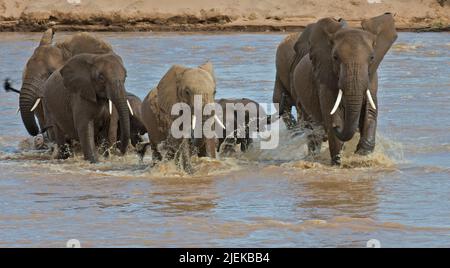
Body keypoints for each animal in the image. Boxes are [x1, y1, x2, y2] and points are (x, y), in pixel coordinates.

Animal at [288, 14, 398, 165]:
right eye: (335, 57)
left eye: (372, 58)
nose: (335, 128)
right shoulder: (325, 79)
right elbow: (333, 113)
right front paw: (338, 162)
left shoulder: (372, 79)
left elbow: (370, 112)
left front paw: (362, 156)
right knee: (312, 132)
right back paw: (314, 157)